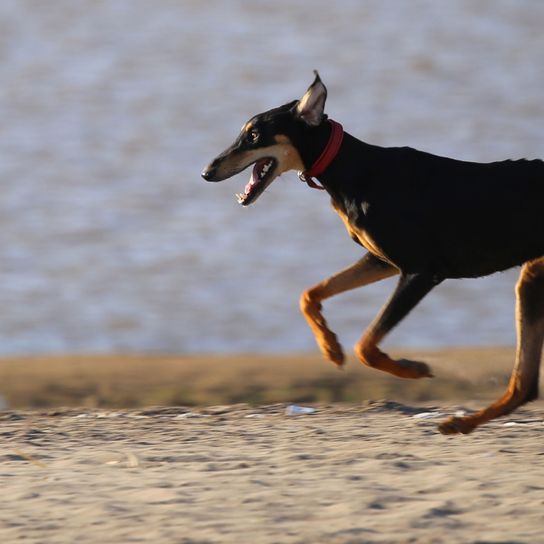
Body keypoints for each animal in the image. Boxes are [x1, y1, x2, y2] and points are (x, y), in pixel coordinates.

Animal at [201, 71, 544, 434]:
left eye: (253, 134)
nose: (206, 172)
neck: (355, 168)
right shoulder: (381, 261)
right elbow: (309, 295)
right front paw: (332, 349)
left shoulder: (421, 272)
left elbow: (365, 345)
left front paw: (413, 368)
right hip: (531, 280)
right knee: (523, 385)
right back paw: (461, 423)